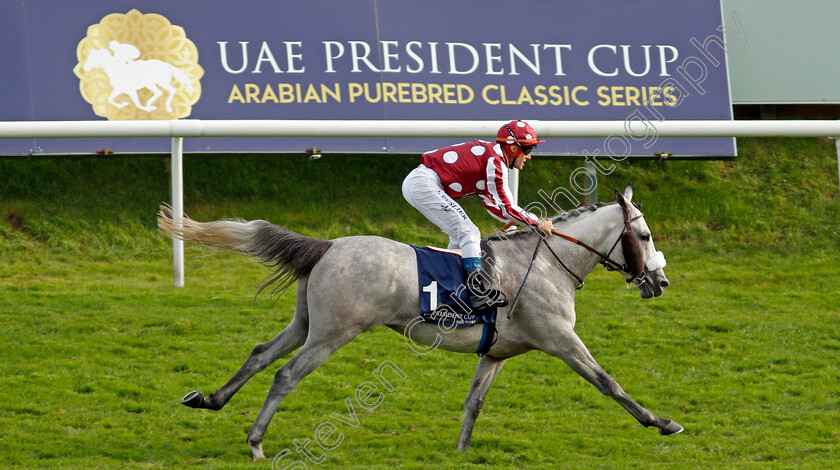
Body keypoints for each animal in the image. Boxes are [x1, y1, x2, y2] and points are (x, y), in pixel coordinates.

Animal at [158, 184, 684, 458]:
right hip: (332, 333)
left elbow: (474, 402)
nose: (660, 281)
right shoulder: (561, 340)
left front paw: (461, 453)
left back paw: (209, 400)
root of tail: (328, 245)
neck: (548, 263)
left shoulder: (496, 353)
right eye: (644, 234)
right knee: (285, 374)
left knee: (260, 354)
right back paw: (256, 442)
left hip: (307, 324)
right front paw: (661, 422)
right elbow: (609, 383)